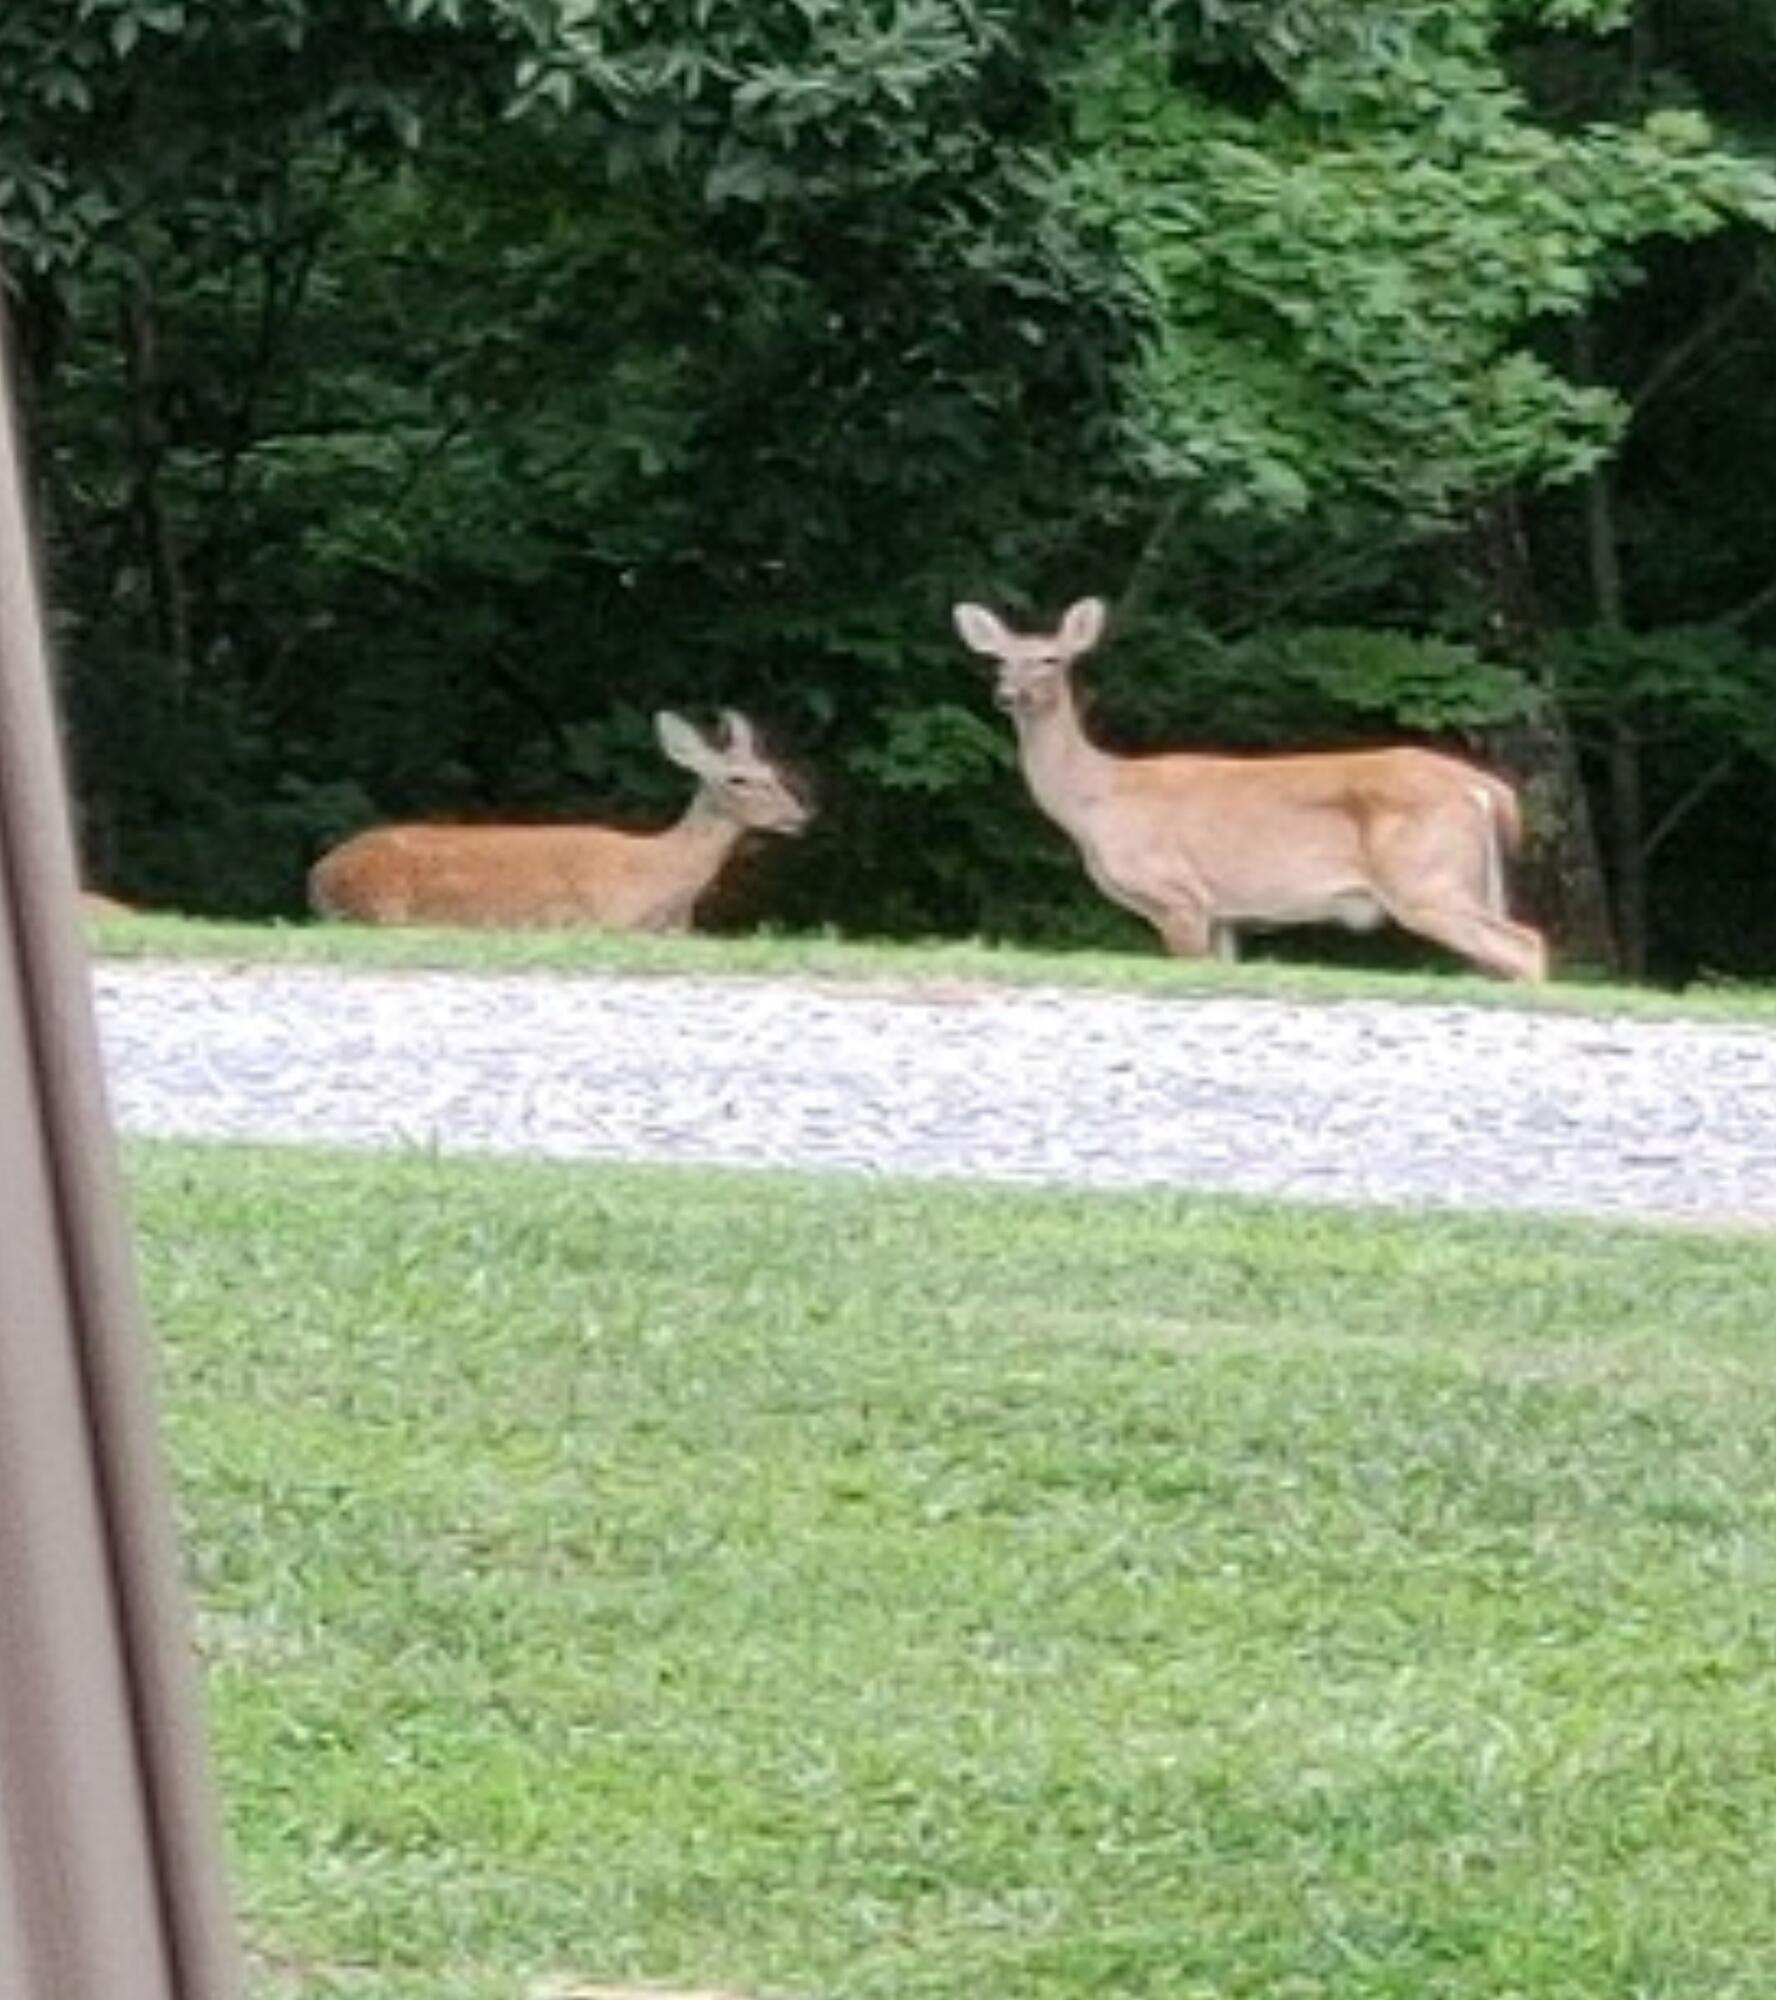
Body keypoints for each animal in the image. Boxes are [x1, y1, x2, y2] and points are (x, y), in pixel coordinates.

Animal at [308, 709, 810, 930]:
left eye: (775, 773)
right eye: (739, 779)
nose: (801, 816)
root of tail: (319, 872)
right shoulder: (601, 920)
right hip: (384, 905)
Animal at [954, 596, 1548, 982]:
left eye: (1051, 658)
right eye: (998, 659)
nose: (1008, 694)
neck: (1097, 800)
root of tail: (1485, 787)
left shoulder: (1177, 894)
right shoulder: (1223, 914)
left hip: (1426, 877)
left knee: (1526, 945)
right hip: (1469, 881)